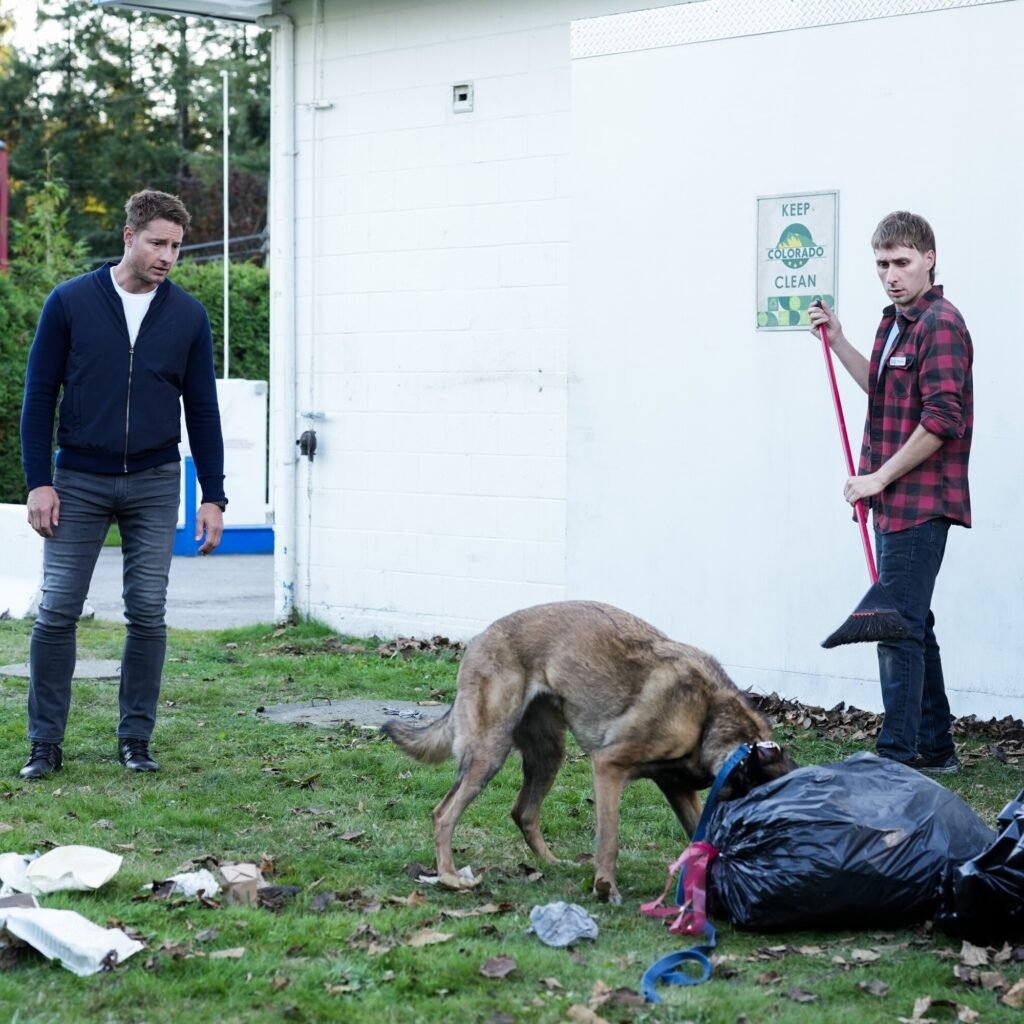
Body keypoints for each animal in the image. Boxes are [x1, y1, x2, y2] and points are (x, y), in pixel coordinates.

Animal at [380, 598, 794, 905]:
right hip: (489, 753)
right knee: (443, 813)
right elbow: (609, 839)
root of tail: (481, 636)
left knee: (522, 812)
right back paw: (450, 876)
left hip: (548, 755)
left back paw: (552, 863)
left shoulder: (677, 788)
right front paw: (606, 888)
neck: (709, 714)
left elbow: (697, 836)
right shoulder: (608, 766)